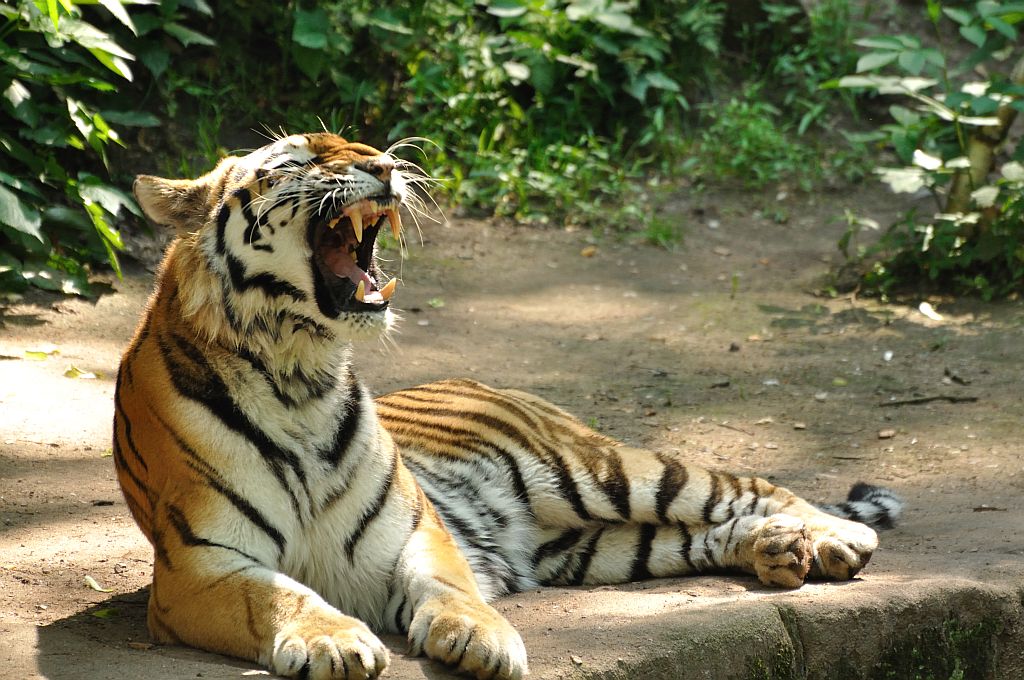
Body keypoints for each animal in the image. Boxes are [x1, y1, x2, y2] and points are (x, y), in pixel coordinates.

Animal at [113, 132, 902, 680]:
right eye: (297, 158)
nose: (386, 164)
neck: (299, 371)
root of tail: (490, 382)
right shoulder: (198, 569)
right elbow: (279, 596)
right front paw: (333, 639)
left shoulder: (413, 531)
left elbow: (452, 588)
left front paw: (481, 638)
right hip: (594, 547)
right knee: (700, 530)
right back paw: (779, 549)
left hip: (601, 473)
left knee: (747, 485)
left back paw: (835, 537)